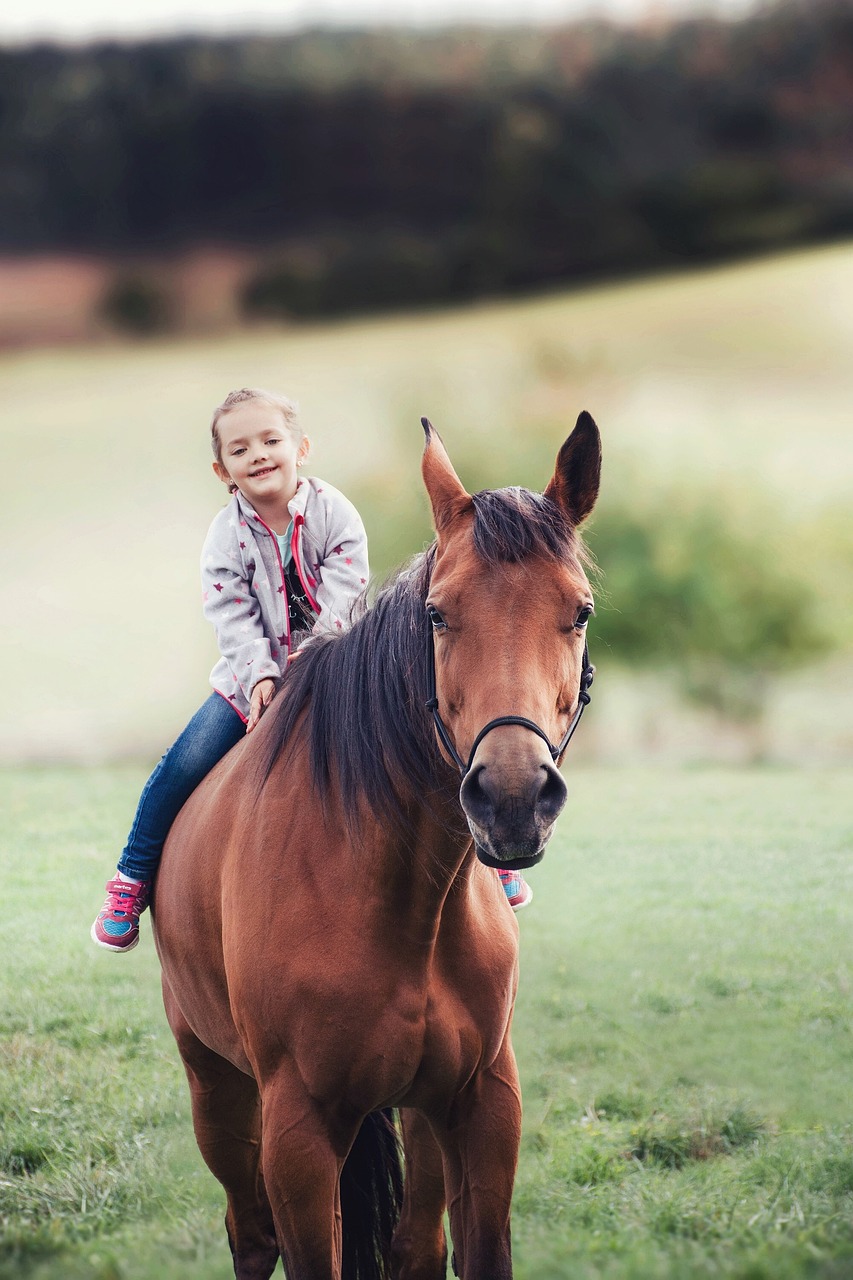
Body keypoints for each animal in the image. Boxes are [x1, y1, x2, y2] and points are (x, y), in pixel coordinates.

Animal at [153, 412, 601, 1280]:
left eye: (581, 611)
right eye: (437, 614)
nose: (511, 798)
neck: (398, 894)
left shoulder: (483, 1103)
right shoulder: (296, 1132)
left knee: (414, 1247)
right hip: (216, 1090)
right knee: (250, 1236)